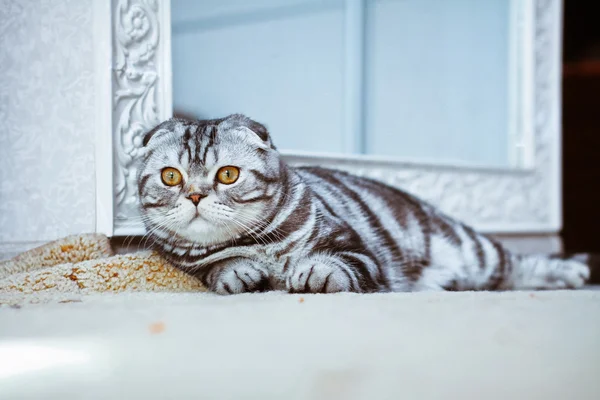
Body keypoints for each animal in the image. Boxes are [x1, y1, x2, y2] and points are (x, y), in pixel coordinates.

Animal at [135, 114, 592, 296]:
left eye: (228, 174)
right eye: (171, 177)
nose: (196, 195)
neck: (260, 247)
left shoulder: (356, 246)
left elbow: (338, 263)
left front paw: (313, 271)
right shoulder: (192, 265)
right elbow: (218, 268)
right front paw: (238, 272)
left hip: (471, 248)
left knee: (518, 264)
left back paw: (569, 273)